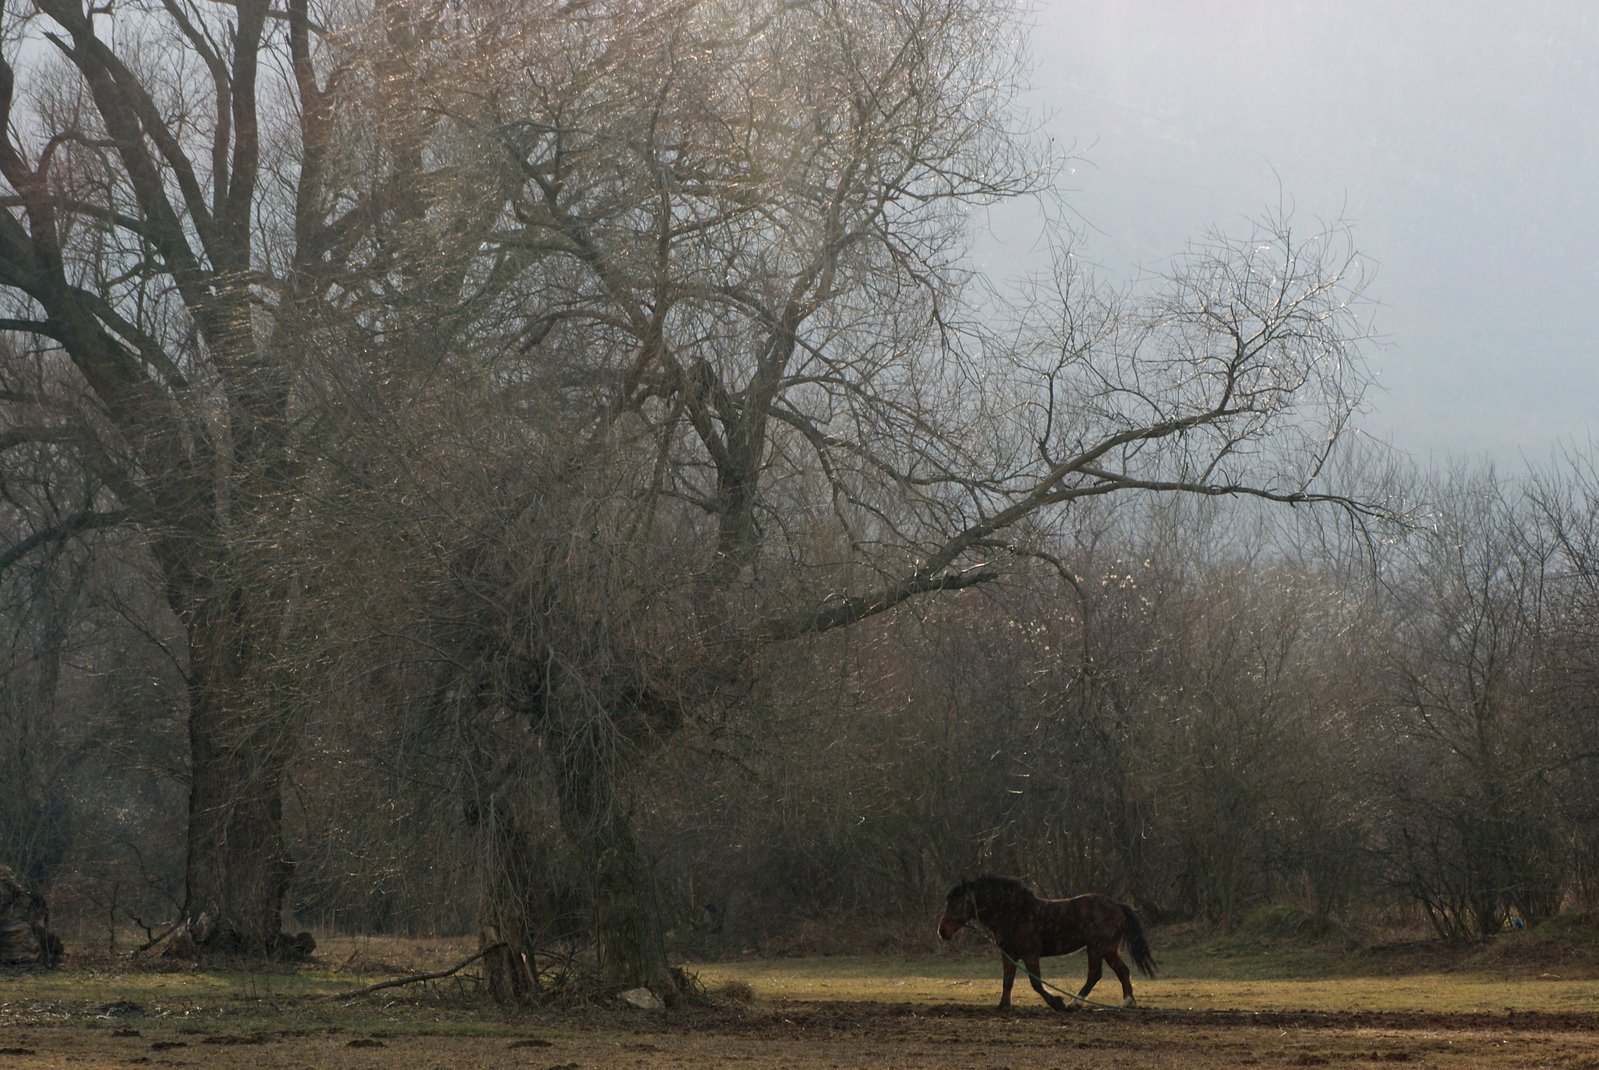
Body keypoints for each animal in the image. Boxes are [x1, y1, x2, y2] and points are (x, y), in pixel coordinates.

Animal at [933, 870, 1157, 1017]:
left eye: (956, 902)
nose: (942, 931)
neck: (1014, 912)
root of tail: (1117, 906)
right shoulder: (1008, 954)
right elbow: (1007, 981)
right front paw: (1003, 1006)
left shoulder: (1030, 954)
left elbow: (1036, 983)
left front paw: (1057, 1002)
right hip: (1108, 950)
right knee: (1122, 971)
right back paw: (1129, 1003)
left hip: (1097, 948)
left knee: (1095, 974)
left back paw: (1075, 1003)